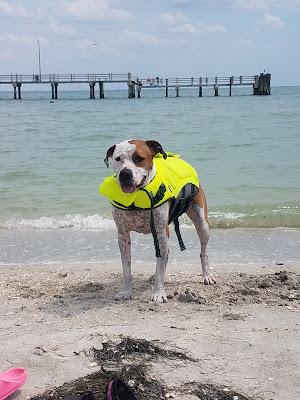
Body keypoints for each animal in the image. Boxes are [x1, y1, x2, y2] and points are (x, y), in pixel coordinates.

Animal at [100, 139, 216, 302]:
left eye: (139, 158)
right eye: (118, 159)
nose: (125, 173)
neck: (137, 195)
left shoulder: (160, 232)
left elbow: (160, 270)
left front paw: (159, 293)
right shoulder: (123, 236)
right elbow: (126, 269)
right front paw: (126, 291)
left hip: (201, 222)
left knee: (203, 251)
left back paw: (207, 275)